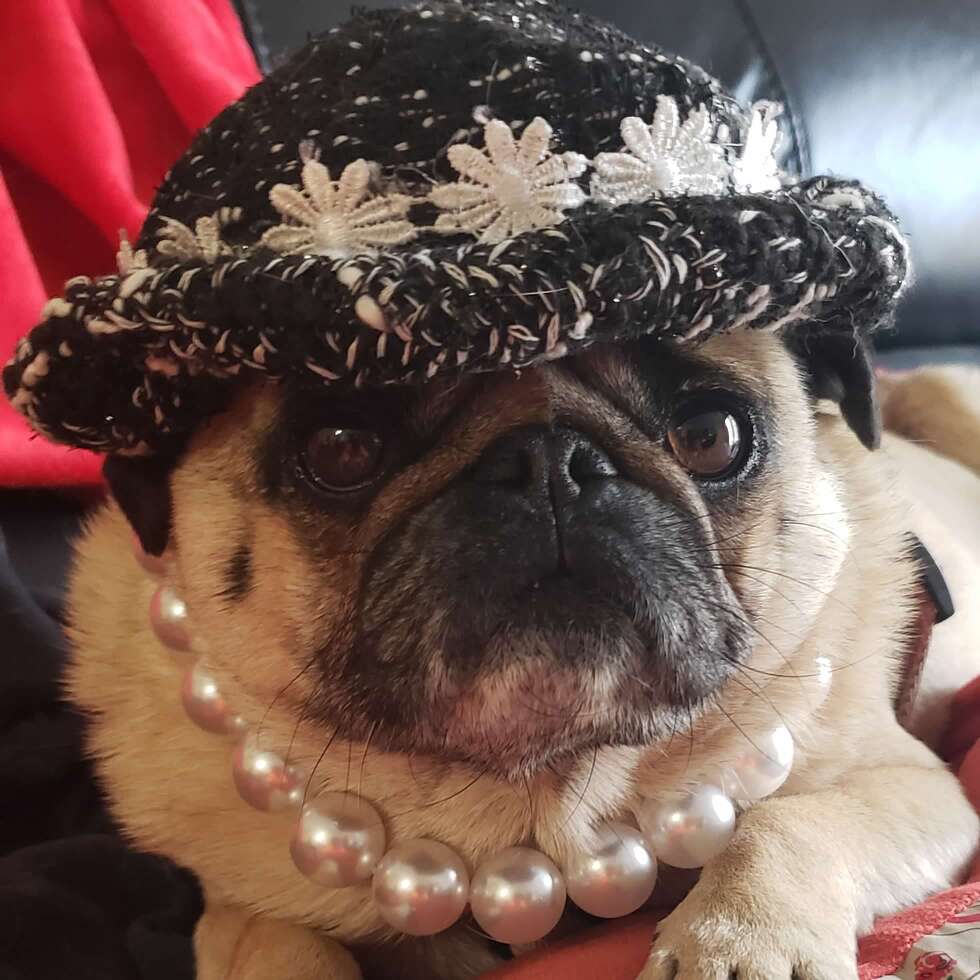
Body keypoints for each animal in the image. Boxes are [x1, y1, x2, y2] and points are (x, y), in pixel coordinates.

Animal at [63, 331, 980, 980]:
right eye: (342, 449)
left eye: (710, 434)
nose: (551, 461)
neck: (536, 797)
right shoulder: (240, 903)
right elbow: (280, 940)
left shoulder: (912, 784)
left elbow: (784, 822)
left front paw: (738, 942)